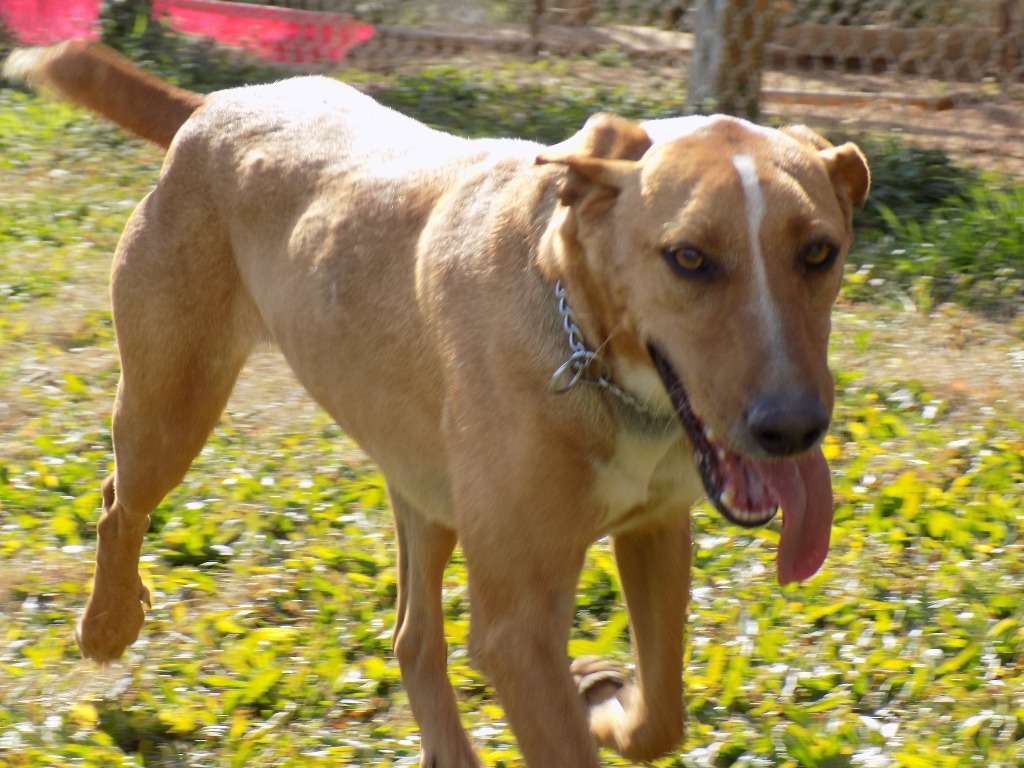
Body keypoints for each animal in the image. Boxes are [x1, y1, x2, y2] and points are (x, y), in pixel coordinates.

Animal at [4, 43, 868, 768]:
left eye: (819, 252)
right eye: (689, 258)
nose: (792, 429)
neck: (582, 344)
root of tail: (215, 106)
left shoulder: (655, 532)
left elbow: (661, 717)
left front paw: (606, 703)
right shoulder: (519, 624)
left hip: (426, 492)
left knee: (412, 639)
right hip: (171, 404)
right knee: (118, 502)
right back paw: (108, 623)